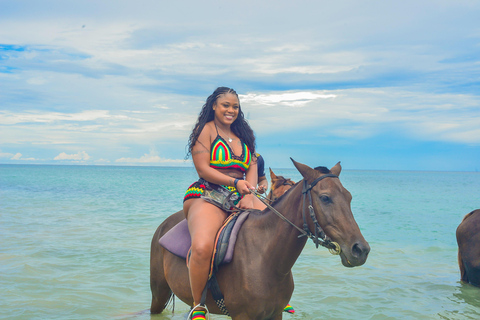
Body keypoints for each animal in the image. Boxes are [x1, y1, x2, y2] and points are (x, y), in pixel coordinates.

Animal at [152, 160, 370, 320]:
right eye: (325, 198)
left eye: (349, 197)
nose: (361, 249)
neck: (265, 258)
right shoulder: (243, 316)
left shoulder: (275, 314)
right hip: (159, 293)